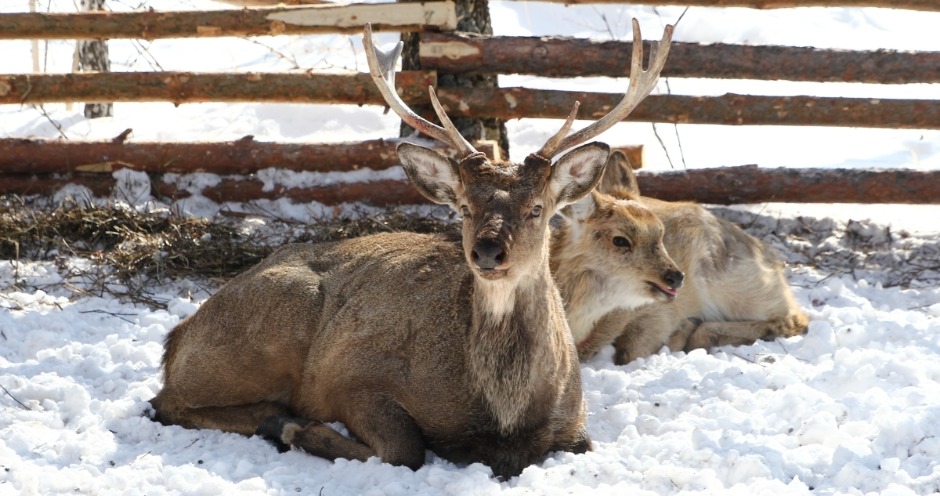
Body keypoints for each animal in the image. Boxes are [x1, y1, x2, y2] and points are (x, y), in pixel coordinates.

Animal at [149, 21, 673, 478]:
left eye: (537, 208)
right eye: (464, 206)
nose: (488, 252)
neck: (503, 414)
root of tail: (179, 335)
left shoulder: (575, 418)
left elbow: (582, 443)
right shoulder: (352, 377)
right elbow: (406, 450)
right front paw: (300, 428)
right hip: (268, 328)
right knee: (166, 402)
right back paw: (276, 419)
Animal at [551, 150, 809, 365]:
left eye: (661, 233)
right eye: (620, 240)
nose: (675, 277)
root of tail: (771, 256)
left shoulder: (655, 312)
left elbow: (629, 351)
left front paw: (681, 331)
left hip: (730, 284)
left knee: (796, 319)